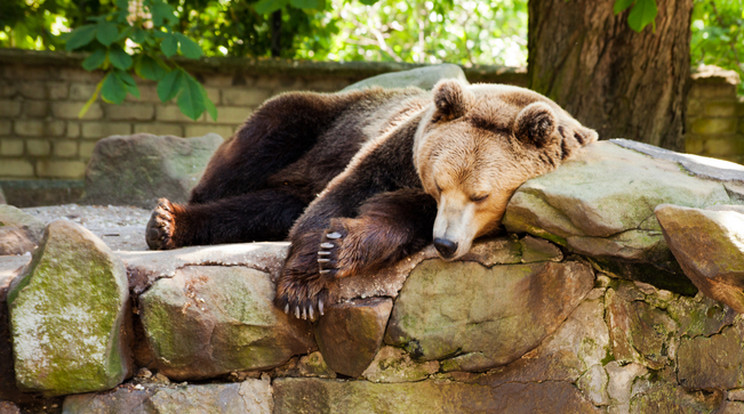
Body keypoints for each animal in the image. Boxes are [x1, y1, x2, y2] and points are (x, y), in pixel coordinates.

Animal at [145, 80, 600, 320]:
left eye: (480, 195)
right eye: (439, 185)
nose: (446, 244)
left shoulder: (417, 201)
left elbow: (392, 217)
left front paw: (339, 246)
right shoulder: (394, 150)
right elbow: (343, 194)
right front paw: (303, 290)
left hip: (297, 178)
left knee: (267, 207)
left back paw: (170, 224)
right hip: (322, 120)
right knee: (259, 143)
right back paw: (167, 221)